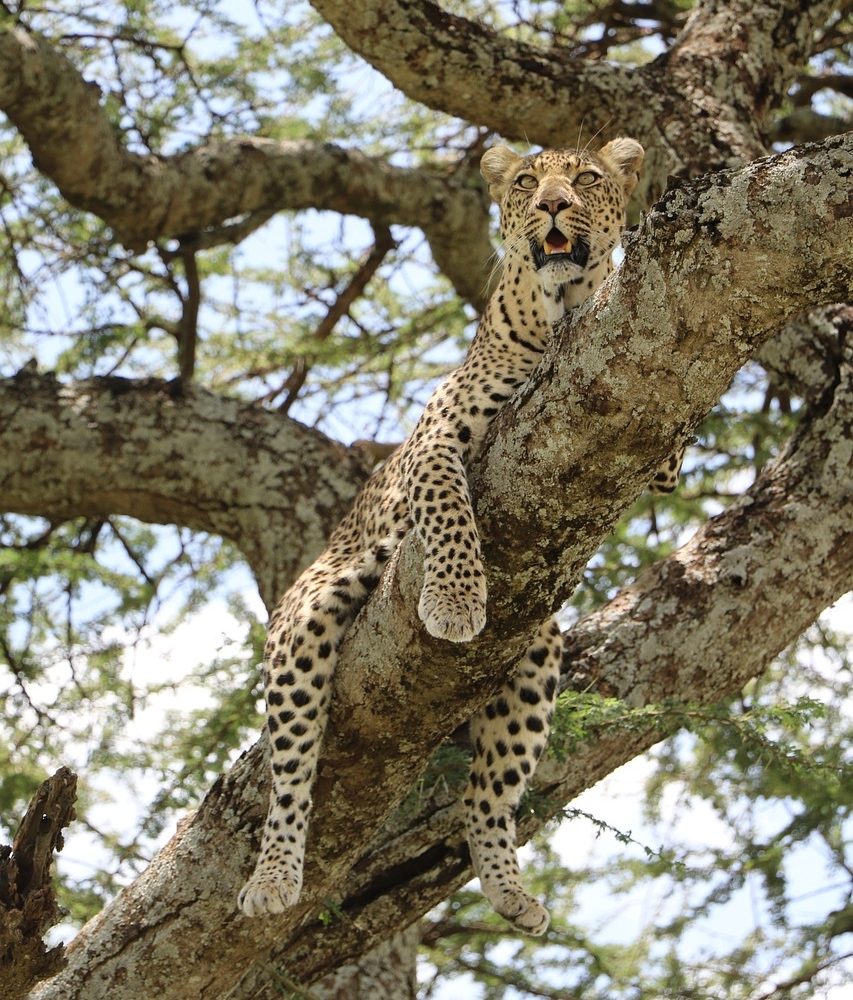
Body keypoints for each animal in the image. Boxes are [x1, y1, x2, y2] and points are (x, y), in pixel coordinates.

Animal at [238, 139, 684, 936]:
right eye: (526, 182)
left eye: (587, 179)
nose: (553, 204)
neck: (559, 314)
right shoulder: (435, 443)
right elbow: (448, 511)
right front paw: (452, 601)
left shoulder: (657, 443)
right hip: (306, 619)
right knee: (291, 770)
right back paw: (274, 876)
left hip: (536, 652)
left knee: (488, 793)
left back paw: (508, 888)